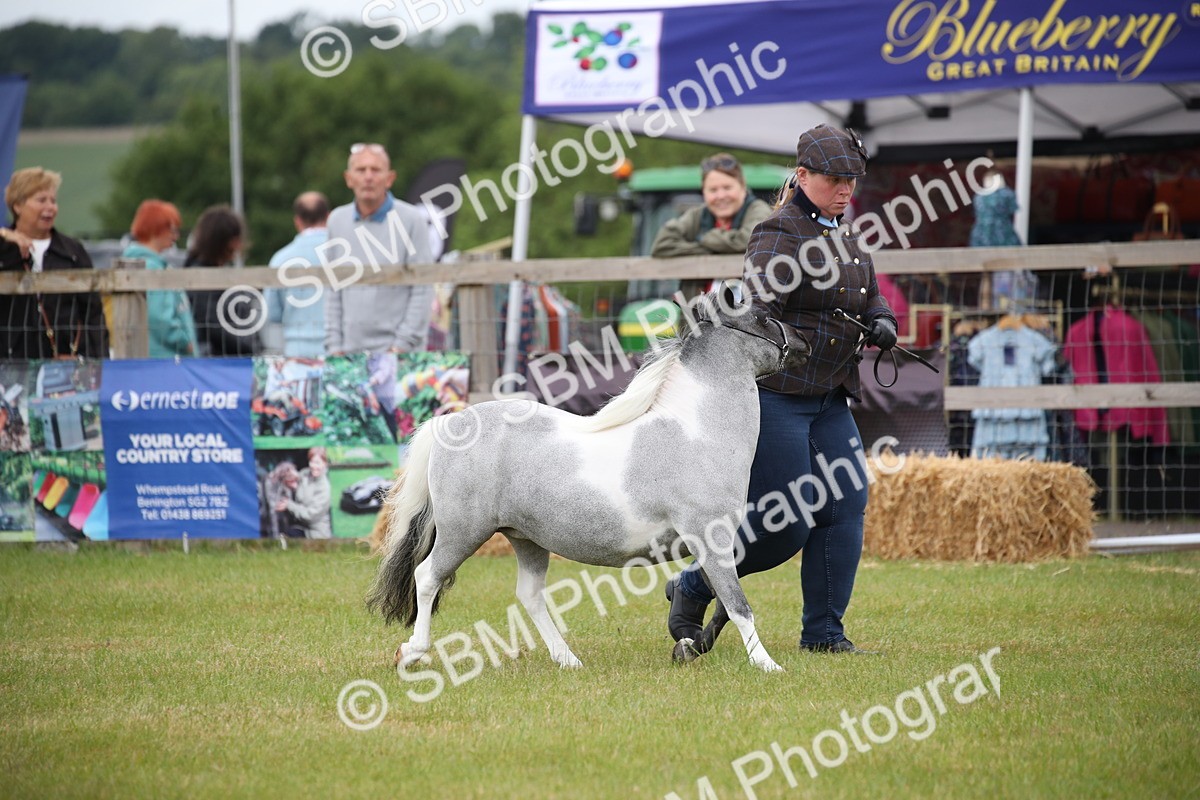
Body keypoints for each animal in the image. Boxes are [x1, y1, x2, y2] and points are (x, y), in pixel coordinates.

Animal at [366, 291, 810, 672]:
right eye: (764, 318)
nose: (805, 342)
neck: (696, 434)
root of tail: (449, 424)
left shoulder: (723, 543)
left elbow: (726, 602)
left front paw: (693, 646)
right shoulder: (709, 537)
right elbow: (738, 604)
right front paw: (767, 665)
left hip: (525, 538)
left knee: (529, 596)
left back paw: (568, 659)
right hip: (463, 532)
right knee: (428, 577)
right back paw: (412, 653)